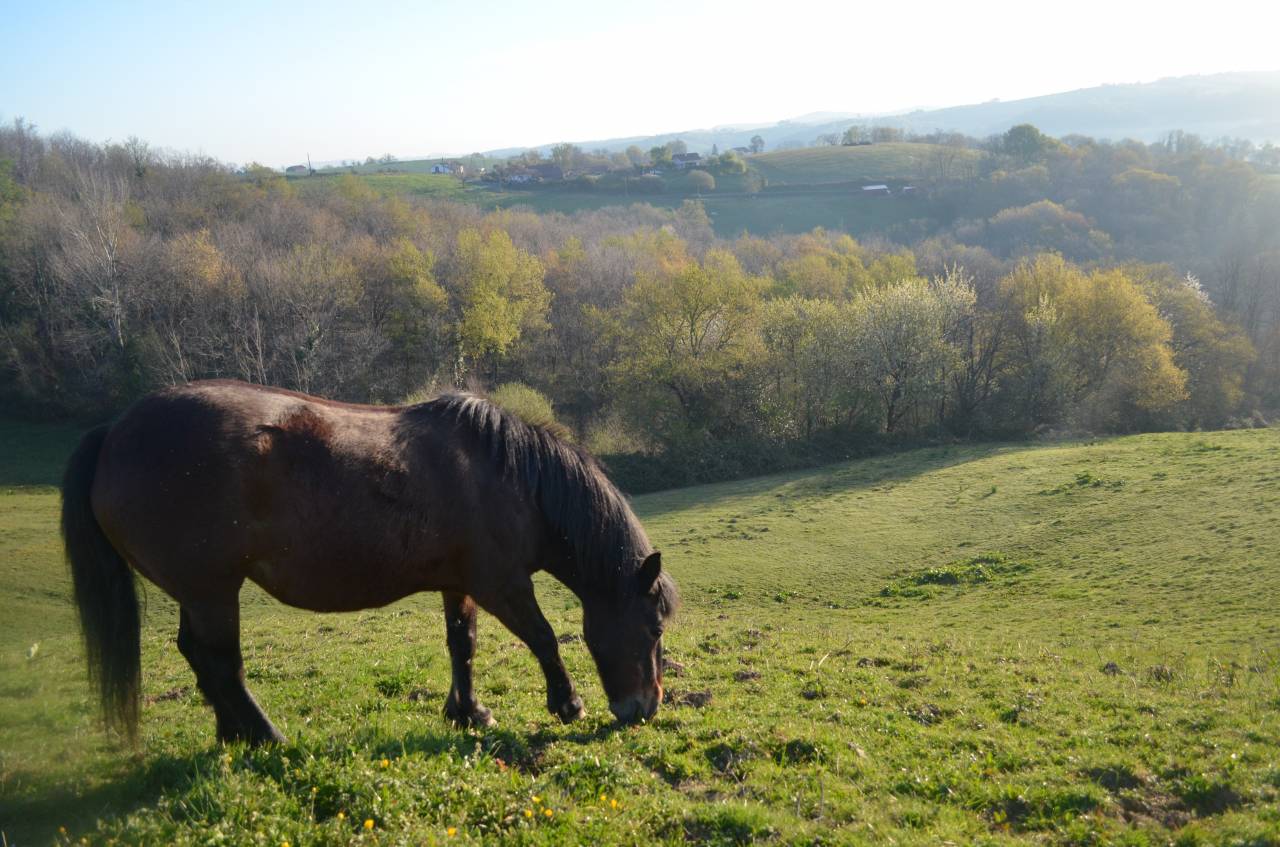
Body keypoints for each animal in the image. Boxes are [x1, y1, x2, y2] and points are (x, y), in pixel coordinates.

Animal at [60, 380, 678, 745]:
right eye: (652, 628)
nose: (645, 708)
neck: (509, 477)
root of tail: (113, 433)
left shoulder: (461, 583)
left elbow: (463, 645)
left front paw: (469, 712)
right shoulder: (503, 584)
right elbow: (544, 638)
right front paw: (567, 704)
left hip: (200, 592)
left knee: (198, 656)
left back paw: (233, 735)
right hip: (213, 591)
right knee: (220, 663)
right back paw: (267, 737)